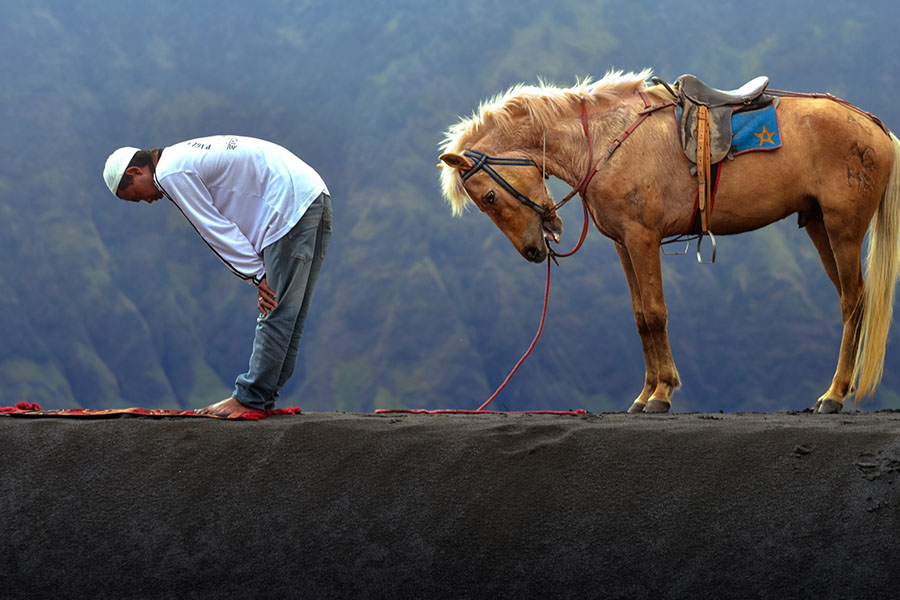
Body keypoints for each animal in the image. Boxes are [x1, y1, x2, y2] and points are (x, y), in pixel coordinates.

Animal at [438, 69, 900, 412]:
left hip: (843, 228)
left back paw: (834, 395)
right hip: (820, 226)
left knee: (853, 301)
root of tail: (874, 126)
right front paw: (647, 393)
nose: (534, 251)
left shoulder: (643, 238)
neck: (604, 140)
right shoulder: (623, 244)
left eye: (489, 196)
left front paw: (660, 395)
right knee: (852, 300)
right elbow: (641, 316)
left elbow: (657, 313)